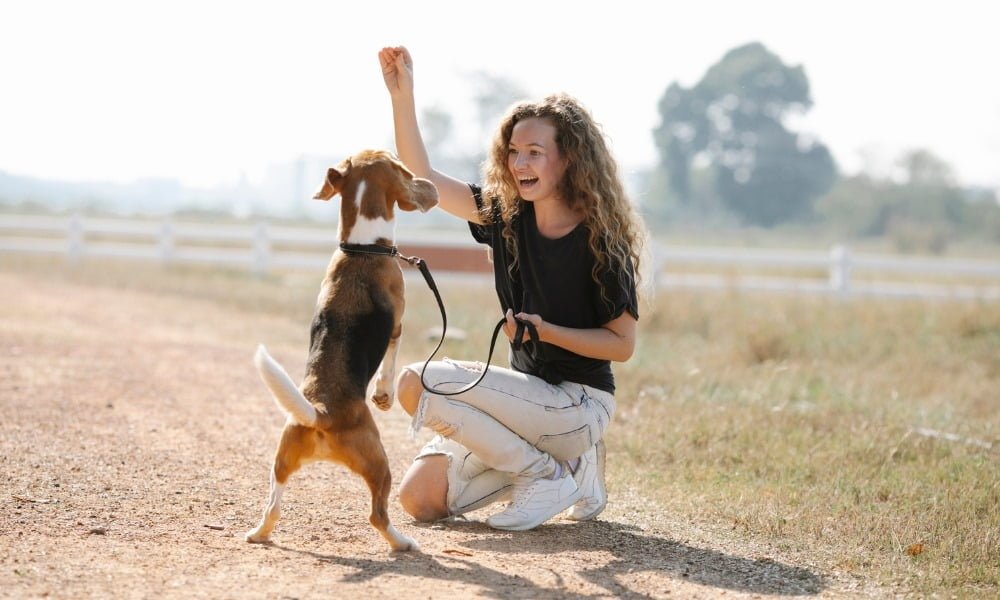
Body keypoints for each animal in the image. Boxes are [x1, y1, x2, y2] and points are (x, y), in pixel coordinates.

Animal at [244, 151, 436, 552]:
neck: (361, 247)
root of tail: (321, 413)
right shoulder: (397, 325)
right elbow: (390, 364)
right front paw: (383, 394)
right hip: (380, 462)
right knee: (377, 515)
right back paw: (403, 543)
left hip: (280, 461)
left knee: (272, 507)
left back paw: (259, 533)